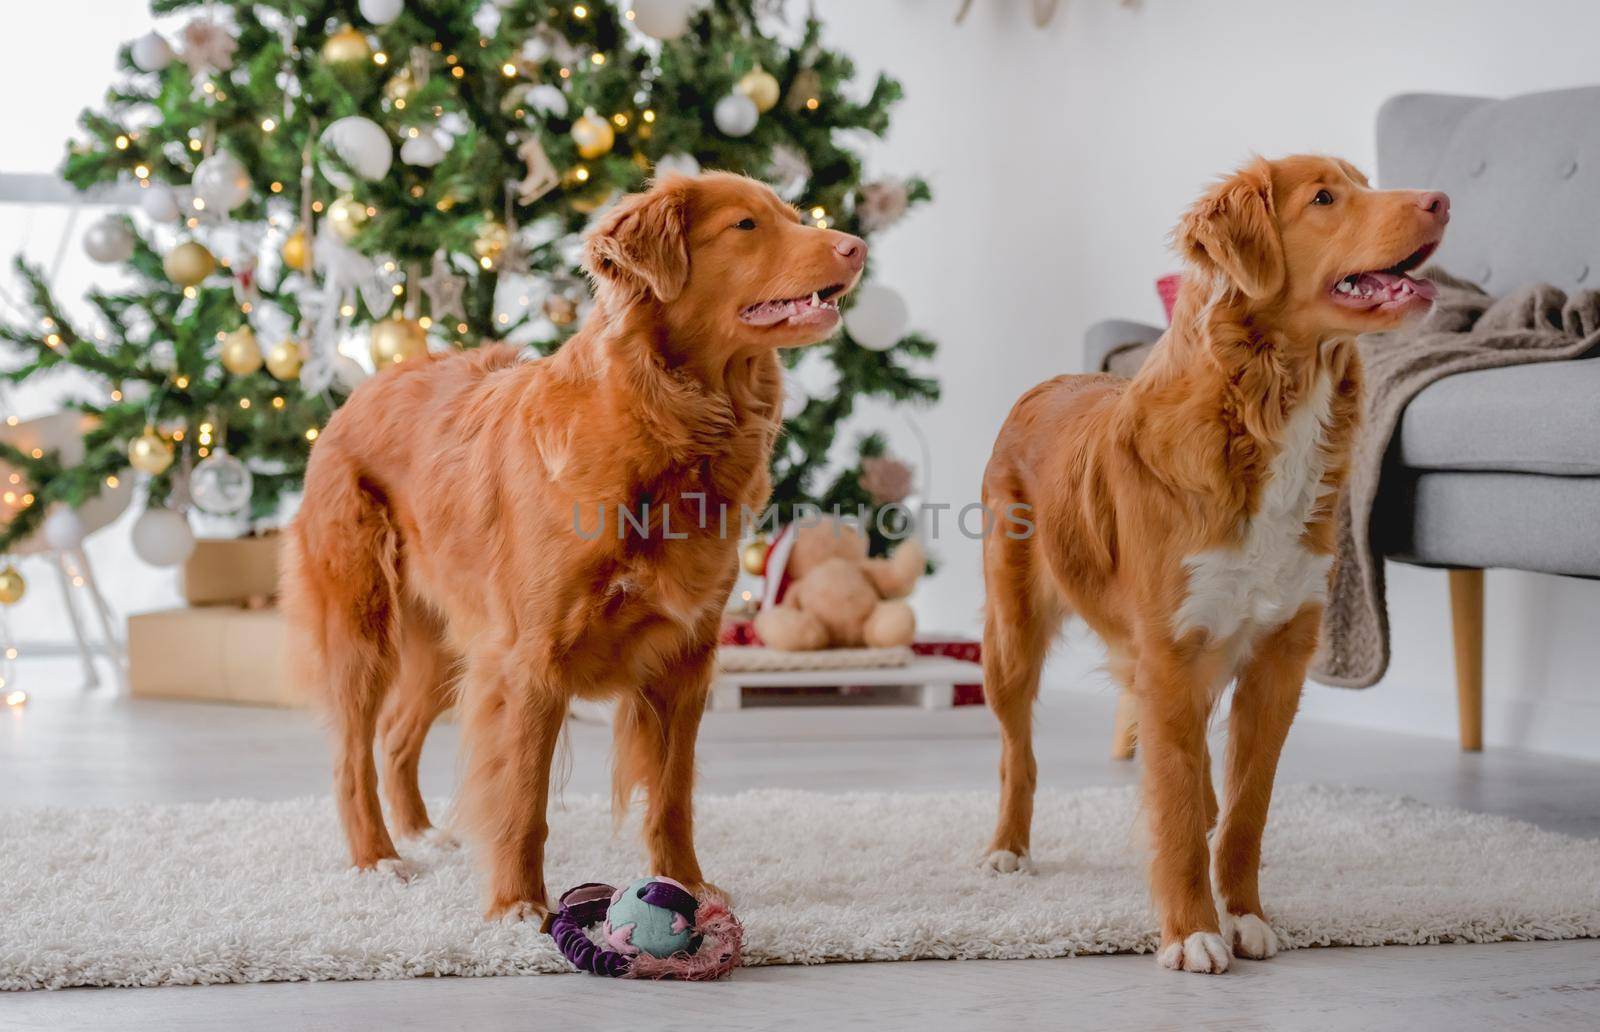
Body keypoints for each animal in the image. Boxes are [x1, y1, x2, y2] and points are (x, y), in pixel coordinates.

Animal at [288, 172, 864, 921]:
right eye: (745, 226)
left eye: (794, 216)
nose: (856, 247)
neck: (670, 424)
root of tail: (361, 388)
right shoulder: (530, 660)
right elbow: (523, 799)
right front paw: (516, 906)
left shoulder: (684, 660)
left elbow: (672, 794)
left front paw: (686, 884)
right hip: (364, 624)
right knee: (352, 752)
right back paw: (377, 857)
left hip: (446, 641)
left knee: (394, 736)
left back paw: (421, 832)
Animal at [979, 156, 1446, 972]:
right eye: (1324, 197)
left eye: (1364, 182)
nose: (1440, 201)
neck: (1270, 408)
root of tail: (1044, 384)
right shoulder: (1168, 653)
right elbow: (1169, 803)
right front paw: (1191, 932)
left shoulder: (1280, 658)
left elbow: (1246, 808)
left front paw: (1245, 915)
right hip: (1011, 631)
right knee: (1018, 751)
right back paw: (1009, 847)